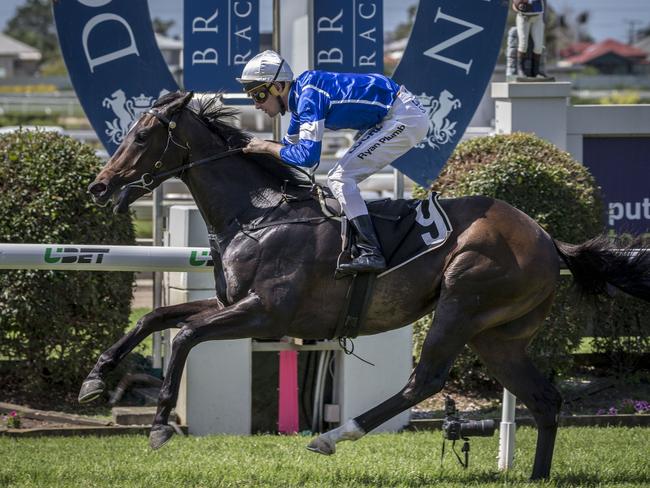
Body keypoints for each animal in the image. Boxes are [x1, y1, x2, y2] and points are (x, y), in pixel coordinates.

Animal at [83, 91, 644, 480]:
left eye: (141, 136)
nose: (100, 186)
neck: (259, 214)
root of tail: (548, 239)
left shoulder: (266, 312)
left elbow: (183, 336)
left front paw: (159, 424)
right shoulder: (233, 303)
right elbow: (157, 318)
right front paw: (96, 377)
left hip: (463, 302)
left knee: (426, 381)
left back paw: (335, 435)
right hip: (497, 335)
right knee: (545, 399)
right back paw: (537, 475)